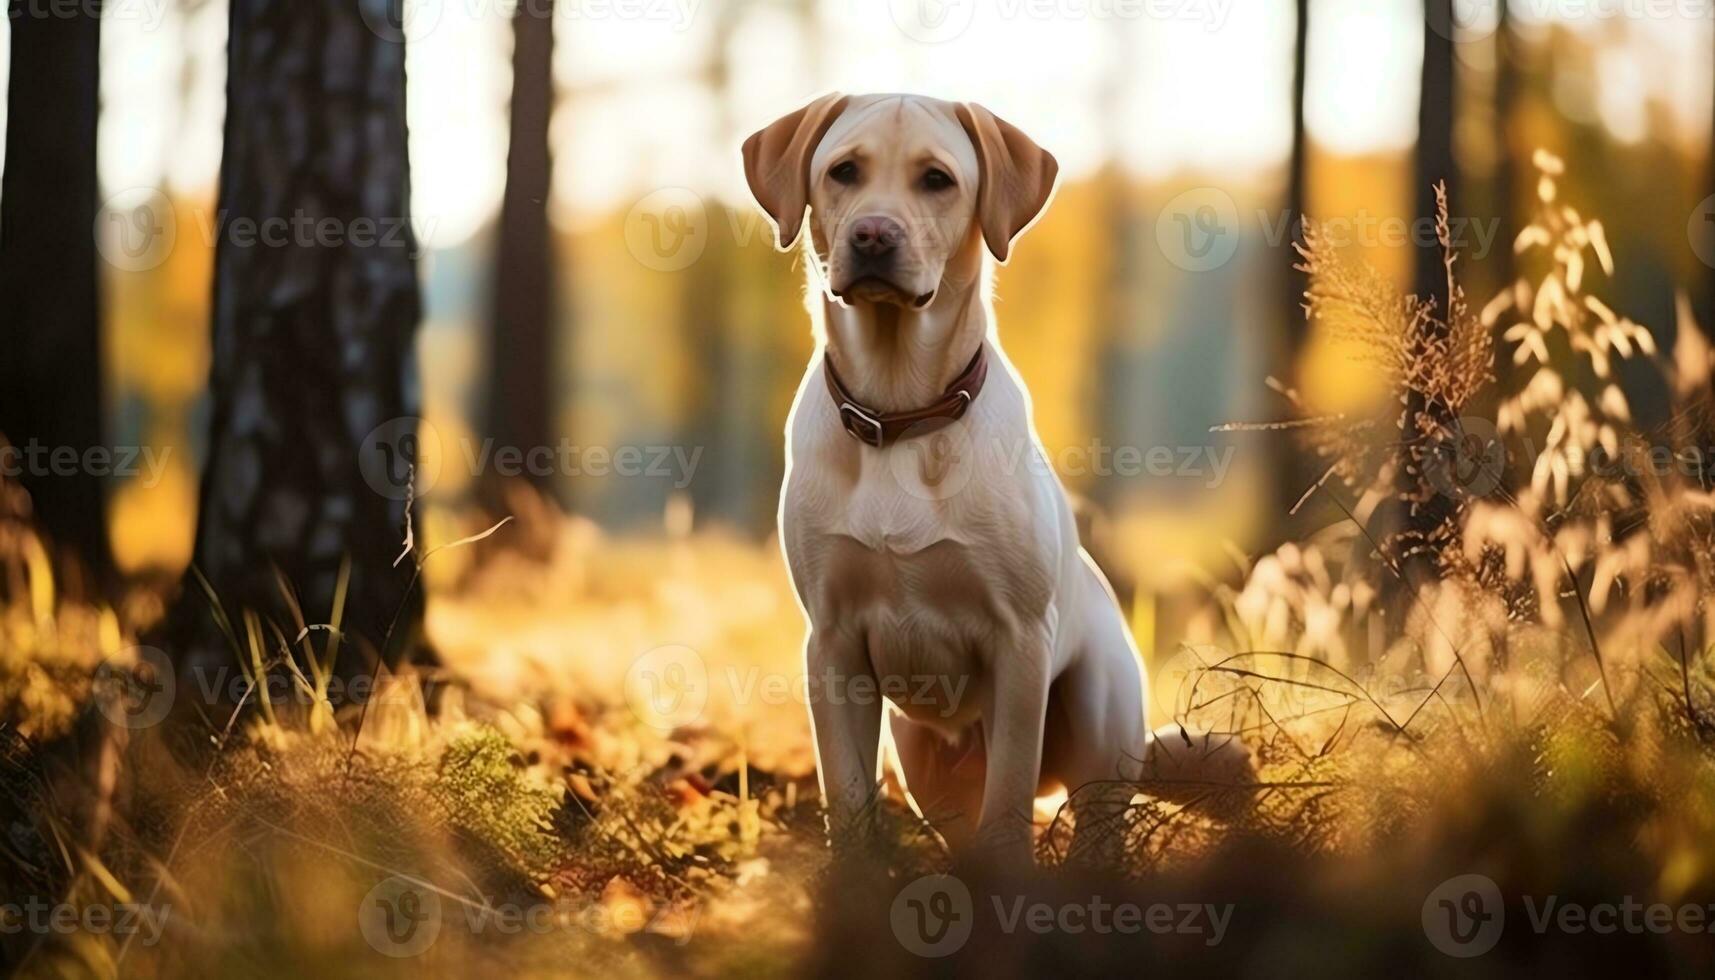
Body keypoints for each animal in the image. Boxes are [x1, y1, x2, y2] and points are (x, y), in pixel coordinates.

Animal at [744, 88, 1255, 861]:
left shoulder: (1019, 642)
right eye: (843, 171)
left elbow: (1009, 799)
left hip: (1100, 719)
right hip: (921, 759)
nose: (872, 235)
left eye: (936, 179)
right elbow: (848, 792)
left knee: (1092, 827)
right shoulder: (831, 645)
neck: (901, 413)